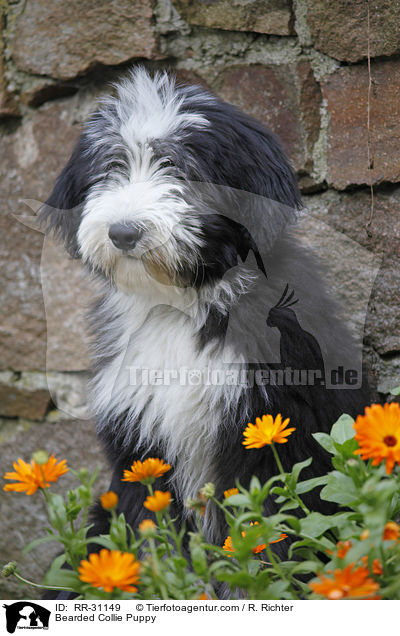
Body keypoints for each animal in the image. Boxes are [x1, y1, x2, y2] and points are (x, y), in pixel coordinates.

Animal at [40, 68, 368, 556]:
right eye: (111, 167)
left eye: (180, 168)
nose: (122, 232)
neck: (182, 305)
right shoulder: (140, 445)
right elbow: (151, 528)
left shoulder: (267, 428)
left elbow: (268, 528)